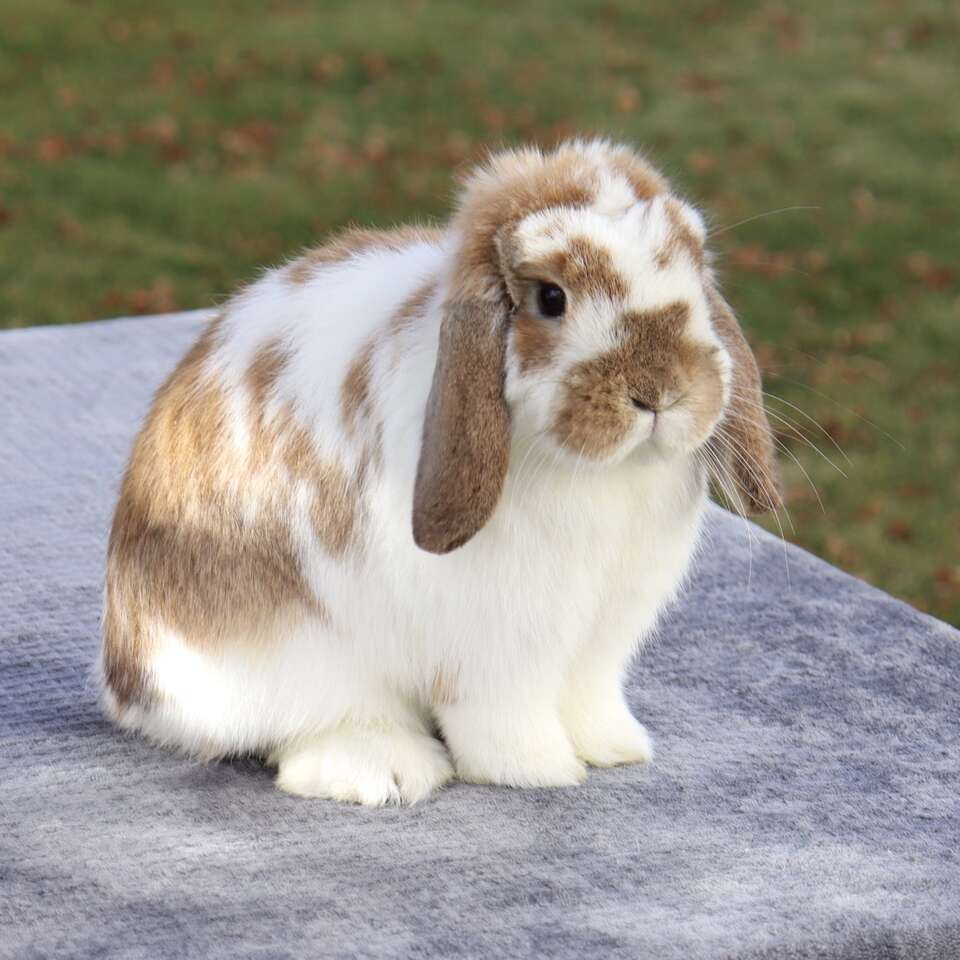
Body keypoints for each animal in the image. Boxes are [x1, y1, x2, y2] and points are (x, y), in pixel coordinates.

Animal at [101, 139, 784, 808]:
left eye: (695, 273)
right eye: (551, 298)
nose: (660, 392)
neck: (598, 475)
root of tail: (125, 678)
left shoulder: (600, 638)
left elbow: (588, 696)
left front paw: (614, 748)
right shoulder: (496, 648)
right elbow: (504, 715)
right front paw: (538, 770)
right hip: (289, 655)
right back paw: (384, 771)